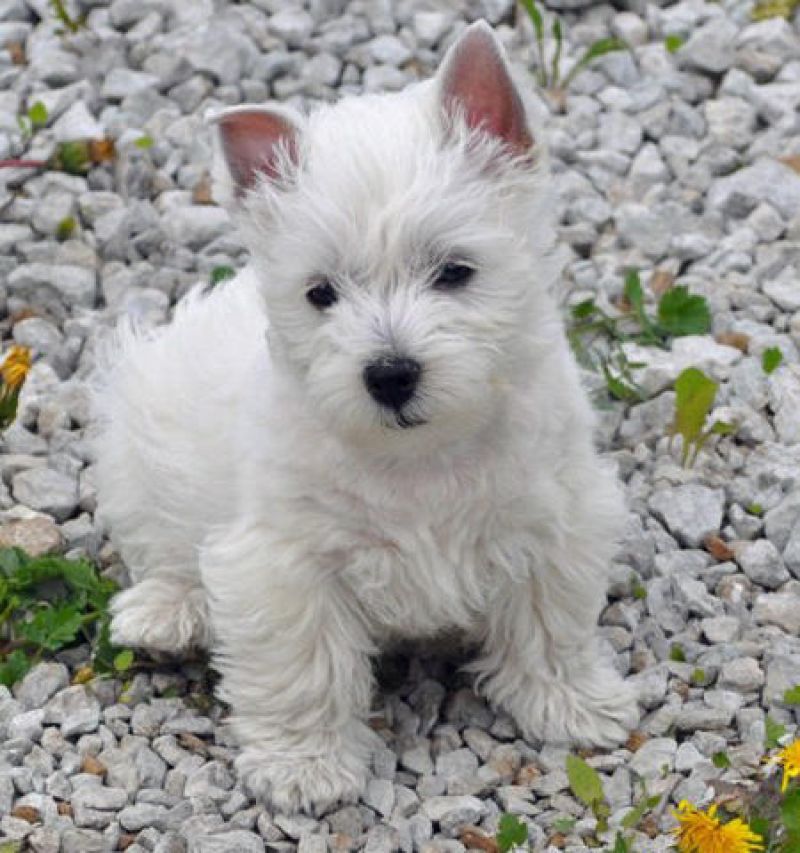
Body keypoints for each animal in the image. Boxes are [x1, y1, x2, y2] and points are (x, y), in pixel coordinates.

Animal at [94, 21, 636, 812]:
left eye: (455, 271)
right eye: (320, 292)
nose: (389, 374)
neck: (423, 459)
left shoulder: (553, 519)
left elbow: (549, 625)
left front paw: (575, 705)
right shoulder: (287, 561)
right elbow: (303, 667)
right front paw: (304, 766)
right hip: (139, 435)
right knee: (161, 542)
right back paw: (167, 612)